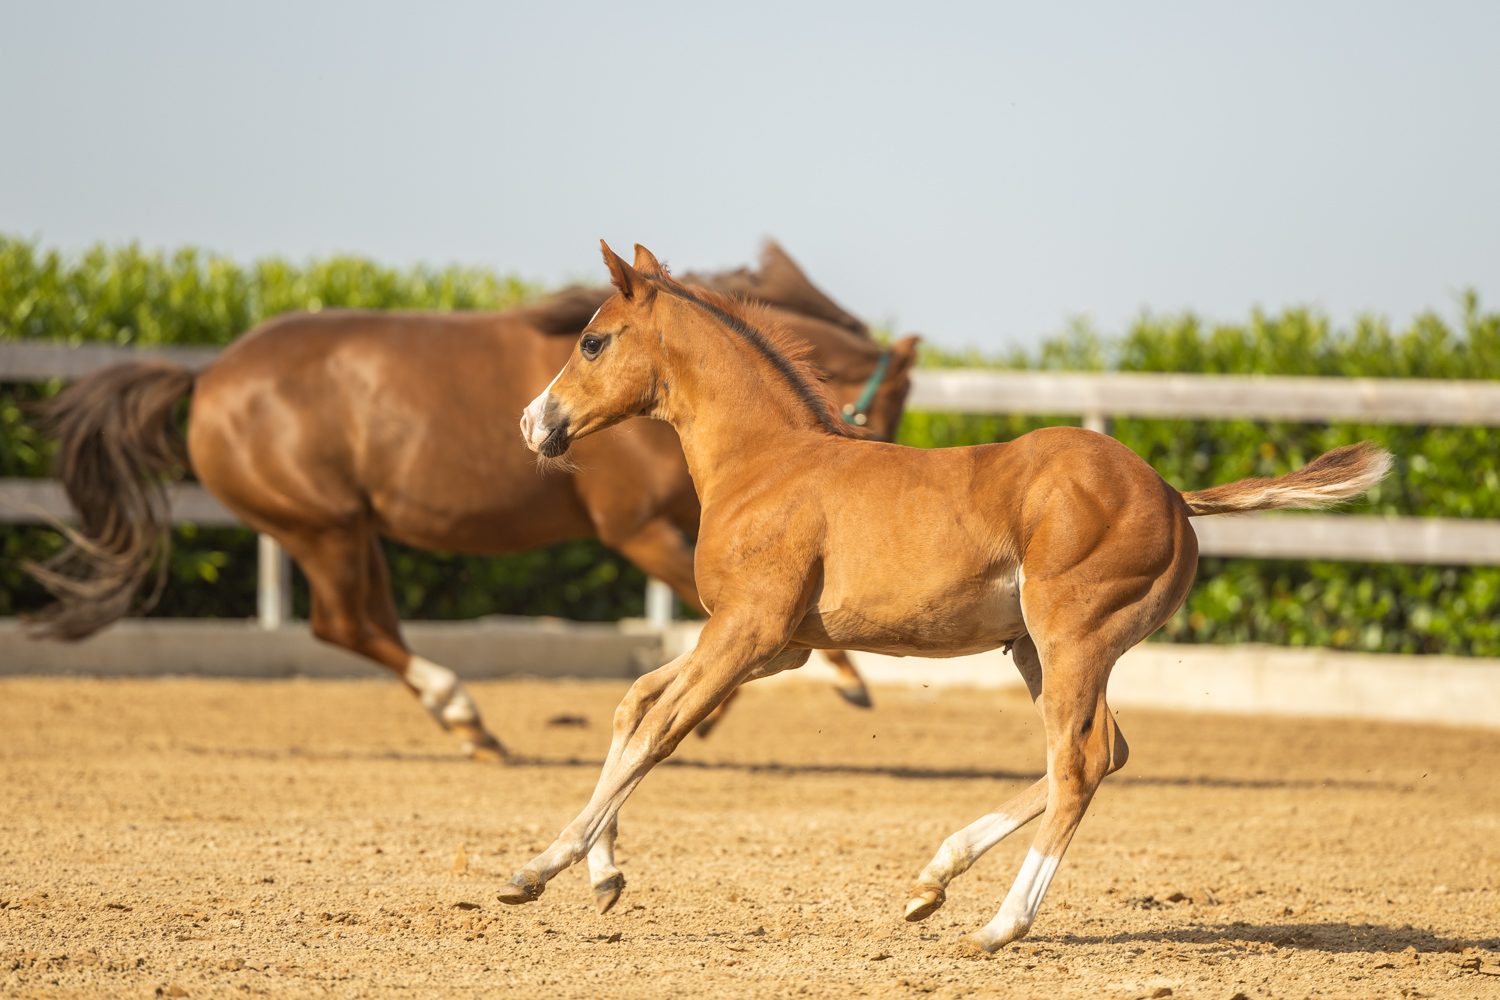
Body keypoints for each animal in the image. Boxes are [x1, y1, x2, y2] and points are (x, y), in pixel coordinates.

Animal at [26, 243, 921, 761]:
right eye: (891, 398)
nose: (867, 452)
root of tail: (205, 375)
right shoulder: (635, 531)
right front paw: (834, 679)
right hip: (321, 528)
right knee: (345, 626)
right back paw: (461, 710)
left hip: (349, 532)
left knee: (368, 625)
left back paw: (469, 722)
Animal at [502, 241, 1393, 950]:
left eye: (592, 341)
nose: (531, 423)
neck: (765, 462)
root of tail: (1175, 496)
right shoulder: (777, 647)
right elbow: (633, 705)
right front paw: (603, 876)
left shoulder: (749, 631)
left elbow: (659, 731)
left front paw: (539, 868)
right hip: (1036, 648)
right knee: (1100, 752)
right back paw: (933, 880)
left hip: (1072, 638)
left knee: (1081, 761)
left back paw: (998, 926)